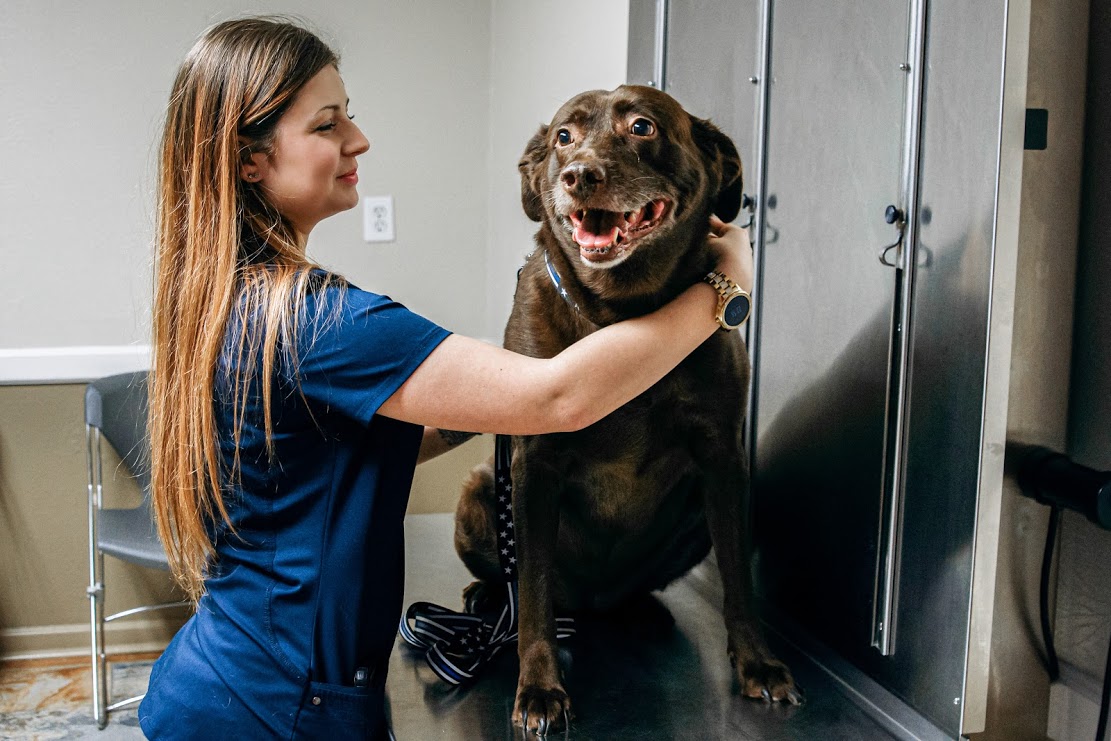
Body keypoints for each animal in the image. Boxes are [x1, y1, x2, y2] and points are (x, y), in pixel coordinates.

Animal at [451, 83, 799, 733]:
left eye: (642, 127)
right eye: (563, 137)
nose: (579, 175)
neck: (622, 316)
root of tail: (589, 603)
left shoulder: (722, 457)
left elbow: (738, 580)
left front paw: (758, 663)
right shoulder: (533, 465)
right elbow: (532, 591)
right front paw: (539, 688)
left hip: (695, 516)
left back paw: (641, 611)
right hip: (481, 491)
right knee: (521, 585)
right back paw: (486, 599)